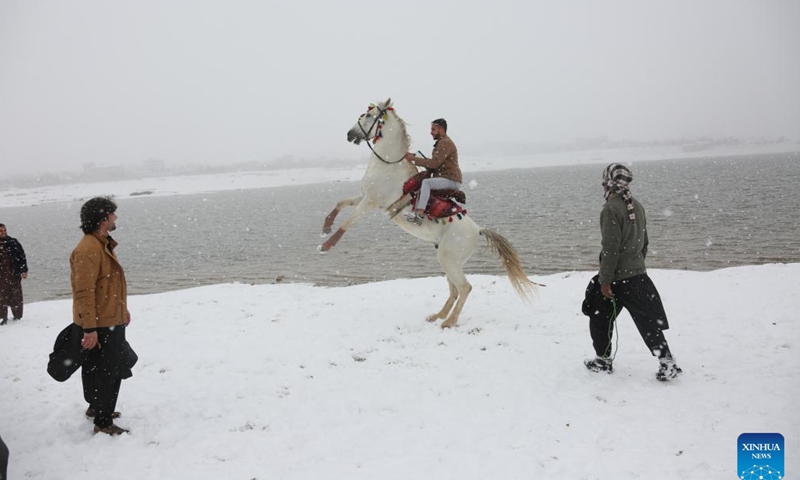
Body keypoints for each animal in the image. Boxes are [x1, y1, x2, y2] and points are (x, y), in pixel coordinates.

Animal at [319, 98, 535, 328]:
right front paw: (325, 227)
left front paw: (325, 246)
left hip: (448, 259)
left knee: (464, 288)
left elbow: (348, 222)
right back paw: (438, 316)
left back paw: (449, 321)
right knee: (454, 289)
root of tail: (478, 229)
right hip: (450, 261)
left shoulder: (370, 202)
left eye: (368, 115)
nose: (350, 134)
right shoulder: (365, 198)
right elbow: (341, 203)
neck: (388, 166)